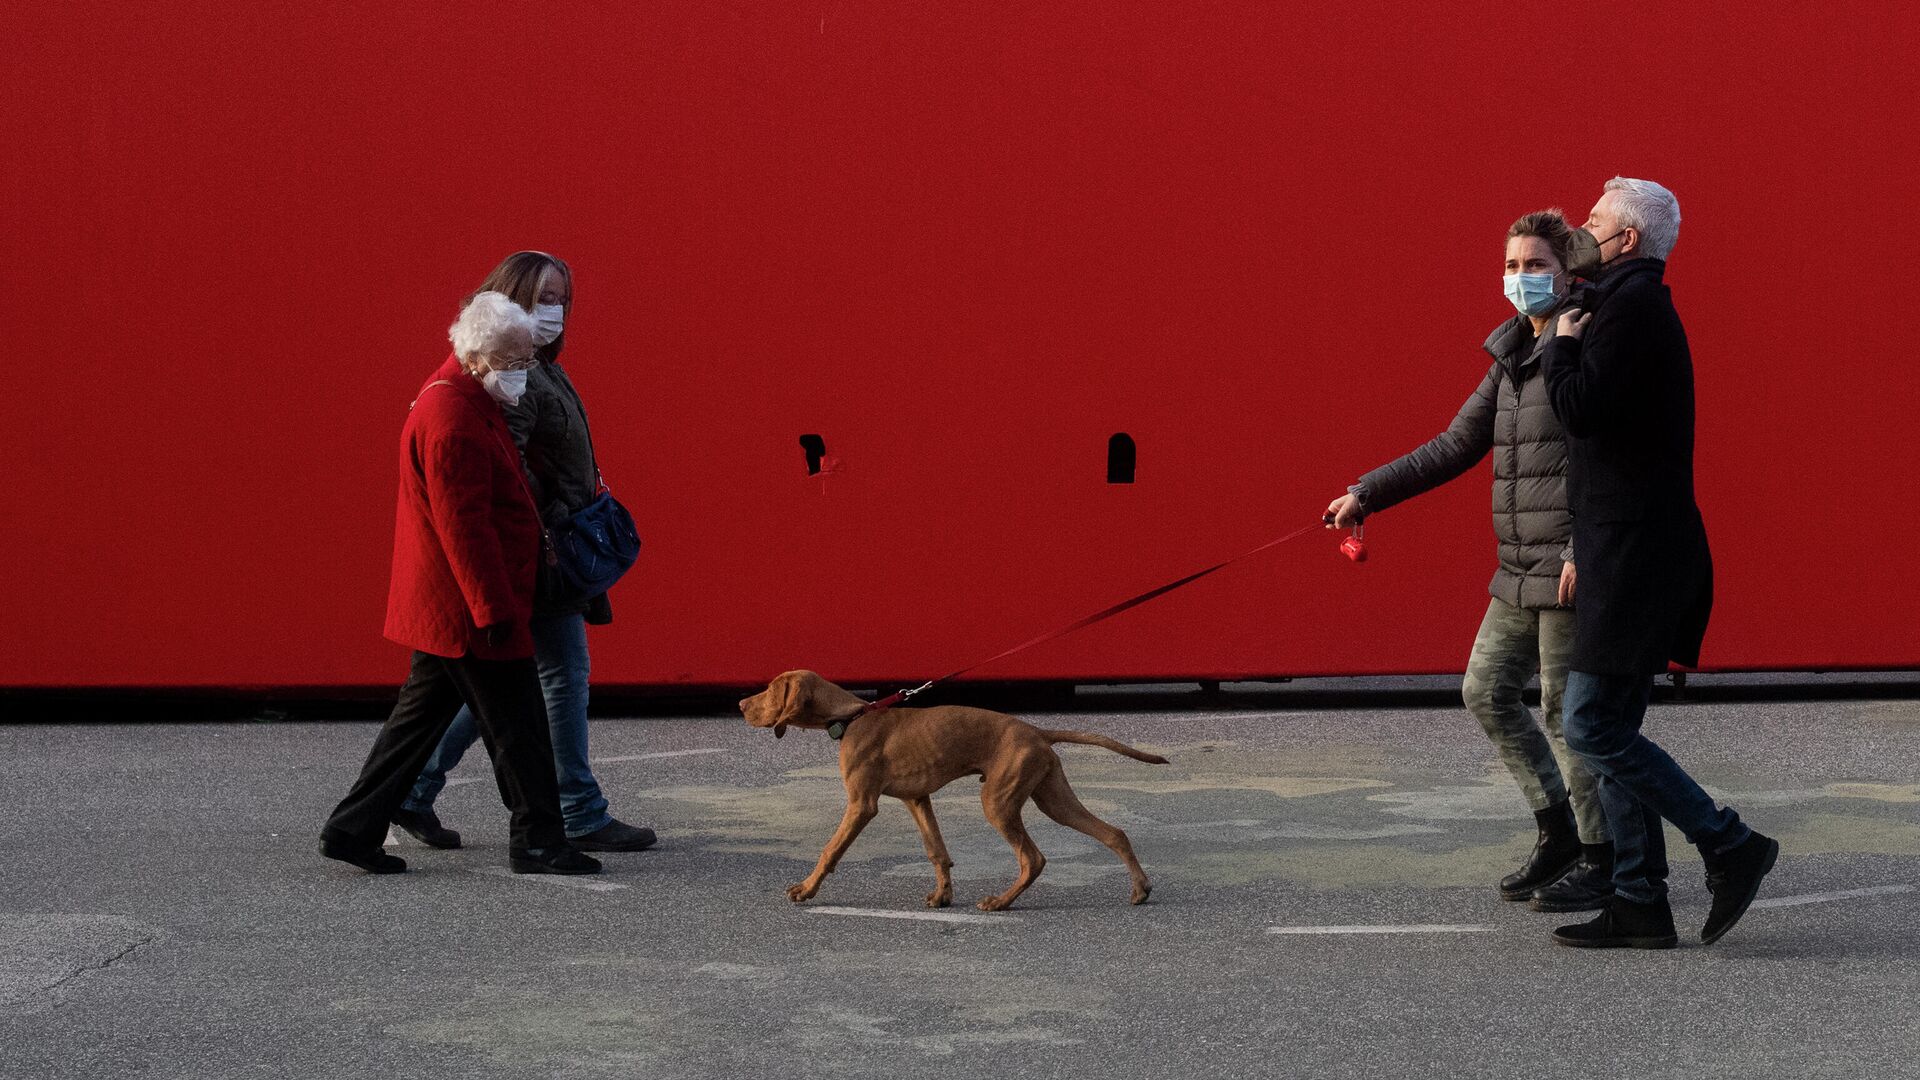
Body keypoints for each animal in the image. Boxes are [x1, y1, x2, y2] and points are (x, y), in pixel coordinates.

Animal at [733, 664, 1159, 907]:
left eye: (770, 690)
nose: (740, 705)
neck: (852, 717)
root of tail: (1037, 730)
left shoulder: (861, 803)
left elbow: (829, 850)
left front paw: (806, 890)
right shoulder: (916, 799)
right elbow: (936, 851)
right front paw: (942, 896)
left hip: (998, 801)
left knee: (1033, 858)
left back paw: (1000, 902)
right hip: (1053, 799)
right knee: (1113, 833)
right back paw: (1140, 889)